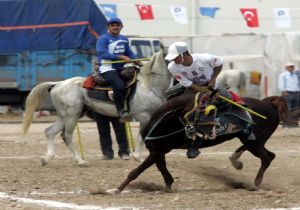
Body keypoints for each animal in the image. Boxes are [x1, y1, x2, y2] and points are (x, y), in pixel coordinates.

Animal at [22, 50, 170, 166]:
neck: (149, 86)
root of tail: (58, 84)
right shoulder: (144, 117)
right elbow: (141, 137)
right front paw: (138, 157)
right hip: (71, 115)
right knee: (67, 136)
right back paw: (80, 161)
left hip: (64, 116)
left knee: (49, 132)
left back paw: (47, 159)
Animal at [104, 92, 288, 194]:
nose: (212, 131)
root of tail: (268, 103)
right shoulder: (158, 151)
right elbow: (162, 168)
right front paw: (168, 184)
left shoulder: (158, 151)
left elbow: (136, 172)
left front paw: (115, 190)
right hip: (252, 140)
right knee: (266, 155)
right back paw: (236, 161)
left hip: (255, 142)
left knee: (268, 157)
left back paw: (254, 183)